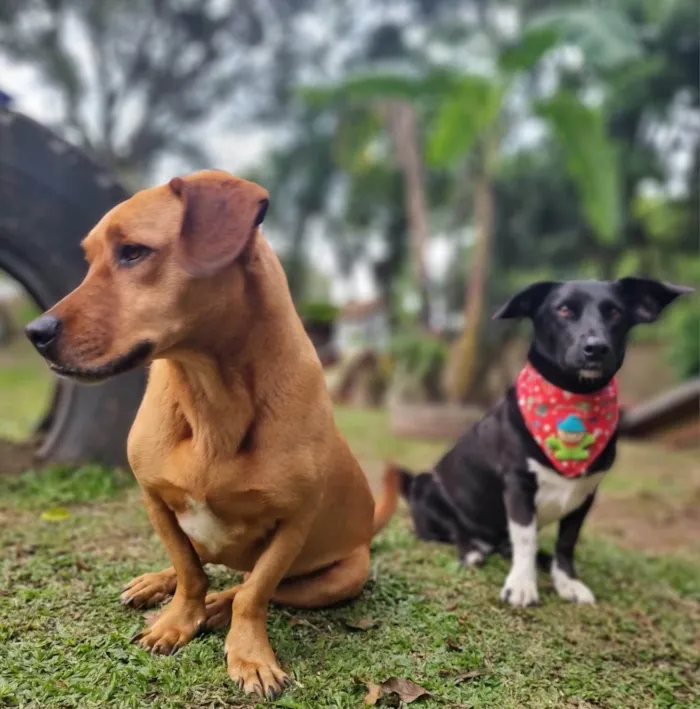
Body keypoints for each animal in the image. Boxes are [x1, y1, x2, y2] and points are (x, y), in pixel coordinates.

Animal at [26, 169, 400, 696]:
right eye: (90, 259)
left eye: (133, 252)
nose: (34, 333)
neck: (209, 400)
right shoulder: (155, 498)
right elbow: (190, 573)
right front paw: (176, 618)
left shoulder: (294, 522)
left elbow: (256, 593)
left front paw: (248, 652)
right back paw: (158, 583)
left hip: (345, 575)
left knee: (255, 587)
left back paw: (219, 607)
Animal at [396, 276, 692, 604]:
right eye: (564, 309)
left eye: (615, 312)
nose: (596, 348)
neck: (574, 399)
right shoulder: (518, 485)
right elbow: (525, 538)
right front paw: (522, 584)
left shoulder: (585, 494)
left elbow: (566, 542)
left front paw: (567, 581)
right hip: (426, 486)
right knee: (455, 529)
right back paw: (472, 550)